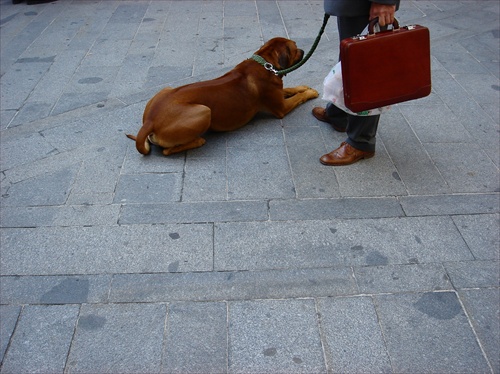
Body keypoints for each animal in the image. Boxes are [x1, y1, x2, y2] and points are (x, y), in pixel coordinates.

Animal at [127, 36, 318, 155]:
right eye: (295, 48)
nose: (303, 50)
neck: (265, 63)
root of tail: (150, 121)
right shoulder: (281, 107)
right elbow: (298, 98)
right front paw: (310, 92)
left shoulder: (278, 93)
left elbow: (290, 89)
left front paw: (302, 87)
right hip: (204, 111)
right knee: (167, 150)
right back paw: (198, 141)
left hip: (166, 89)